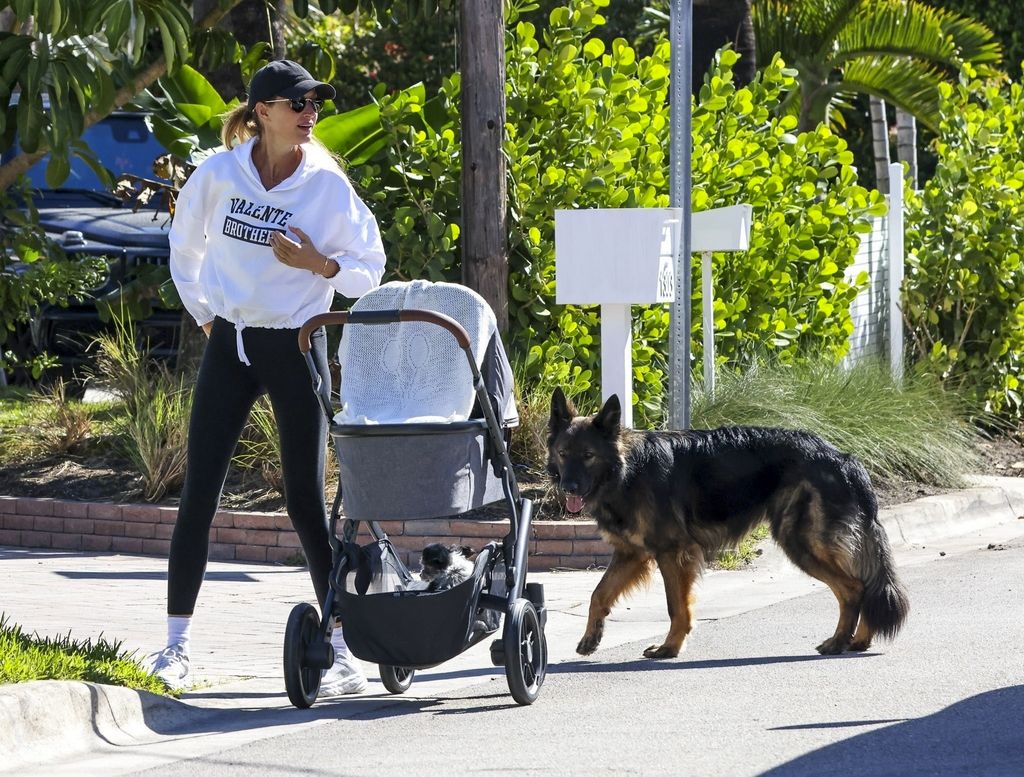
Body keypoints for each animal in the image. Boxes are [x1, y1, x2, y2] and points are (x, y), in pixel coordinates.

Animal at [548, 391, 909, 659]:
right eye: (564, 453)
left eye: (589, 455)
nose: (569, 488)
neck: (627, 471)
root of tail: (843, 457)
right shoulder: (630, 554)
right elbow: (599, 593)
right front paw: (591, 638)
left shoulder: (671, 552)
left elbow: (676, 607)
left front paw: (670, 647)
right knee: (865, 584)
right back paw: (859, 640)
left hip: (801, 541)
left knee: (854, 588)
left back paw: (839, 642)